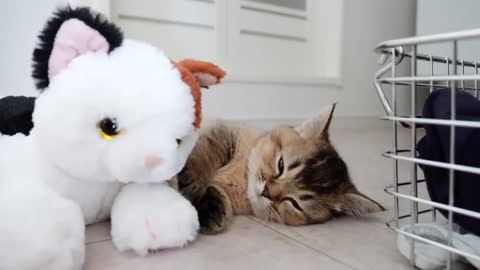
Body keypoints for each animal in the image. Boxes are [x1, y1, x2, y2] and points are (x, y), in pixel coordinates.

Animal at [178, 104, 384, 234]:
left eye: (295, 203)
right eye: (281, 164)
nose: (266, 192)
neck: (241, 181)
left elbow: (216, 189)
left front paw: (210, 211)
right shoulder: (223, 131)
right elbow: (209, 151)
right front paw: (190, 177)